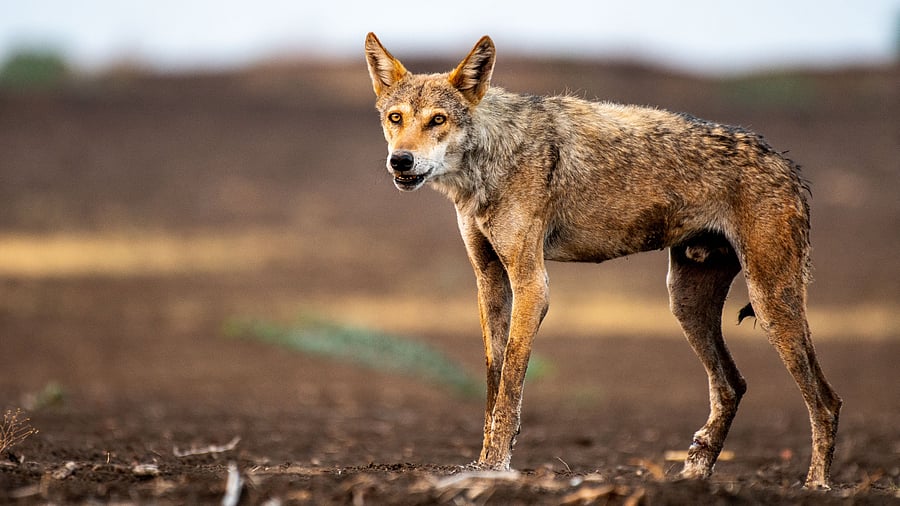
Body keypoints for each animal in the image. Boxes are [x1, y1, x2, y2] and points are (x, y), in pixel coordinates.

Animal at [365, 32, 841, 488]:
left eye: (437, 120)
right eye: (396, 118)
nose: (400, 160)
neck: (491, 156)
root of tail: (788, 164)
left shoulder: (532, 285)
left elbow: (510, 392)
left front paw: (495, 468)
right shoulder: (490, 284)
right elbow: (492, 385)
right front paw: (482, 463)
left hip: (770, 304)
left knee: (826, 401)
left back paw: (815, 485)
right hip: (687, 304)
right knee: (733, 386)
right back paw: (693, 475)